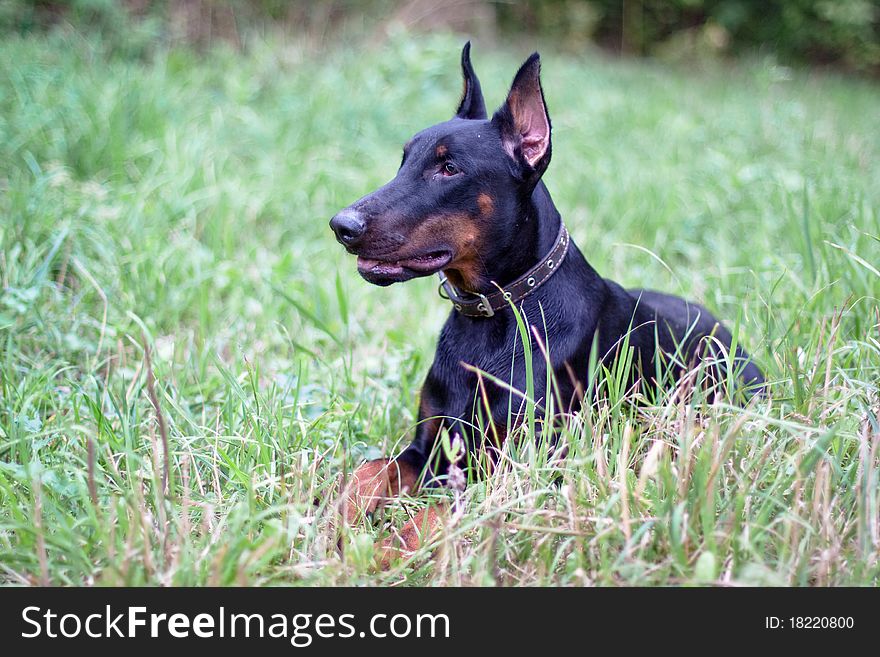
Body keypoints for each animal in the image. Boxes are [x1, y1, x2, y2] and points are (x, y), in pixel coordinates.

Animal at [332, 41, 764, 552]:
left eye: (449, 167)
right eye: (403, 161)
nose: (342, 225)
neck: (494, 316)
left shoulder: (520, 465)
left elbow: (437, 513)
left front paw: (382, 551)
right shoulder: (430, 446)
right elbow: (369, 471)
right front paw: (327, 523)